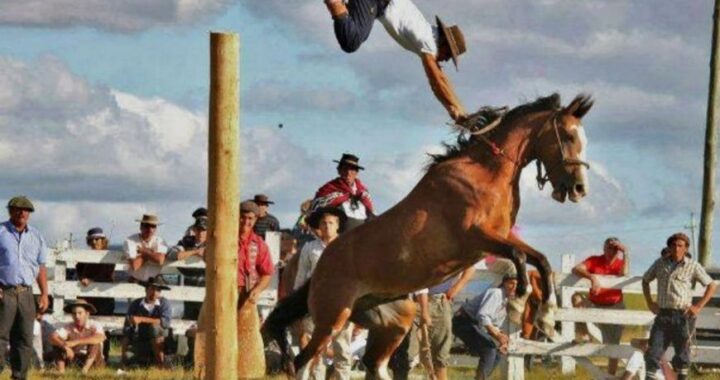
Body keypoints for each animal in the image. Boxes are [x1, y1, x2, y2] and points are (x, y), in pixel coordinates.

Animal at [262, 93, 592, 380]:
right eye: (569, 137)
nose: (578, 189)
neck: (484, 173)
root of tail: (321, 266)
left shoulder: (500, 237)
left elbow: (541, 260)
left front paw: (547, 318)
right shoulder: (477, 238)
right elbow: (521, 258)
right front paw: (518, 300)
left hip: (394, 320)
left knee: (374, 364)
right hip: (332, 319)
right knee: (302, 361)